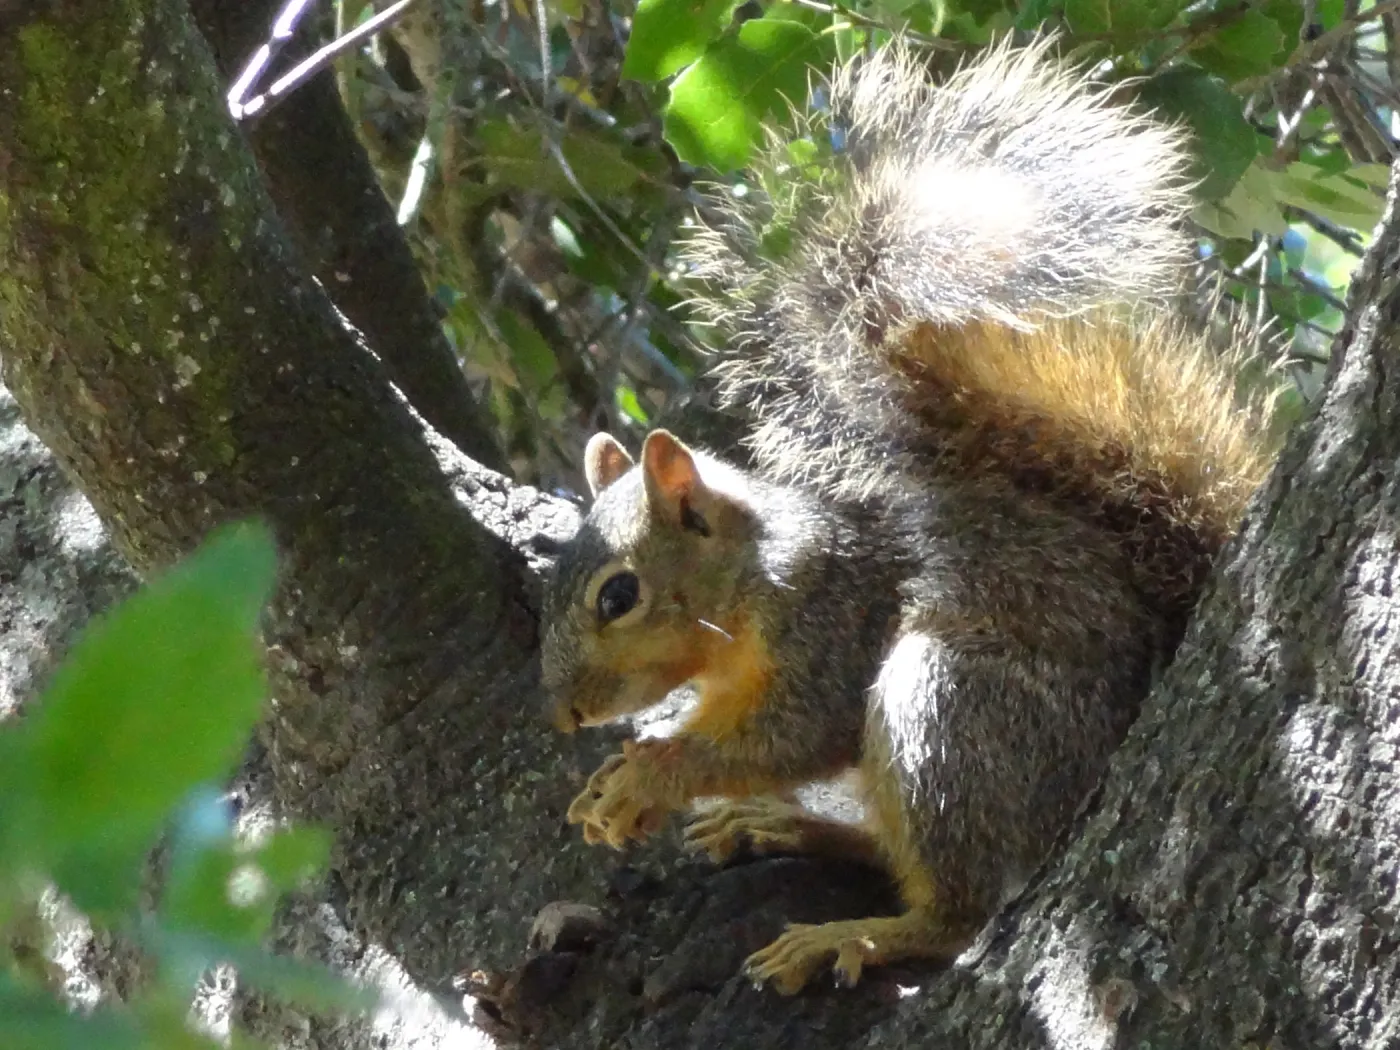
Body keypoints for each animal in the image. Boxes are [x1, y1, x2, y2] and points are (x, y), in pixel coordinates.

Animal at [539, 37, 1279, 995]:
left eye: (618, 596)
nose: (564, 717)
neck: (750, 582)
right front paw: (615, 783)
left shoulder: (831, 624)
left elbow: (793, 738)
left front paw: (650, 776)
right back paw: (789, 828)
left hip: (952, 709)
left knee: (954, 908)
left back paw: (856, 935)